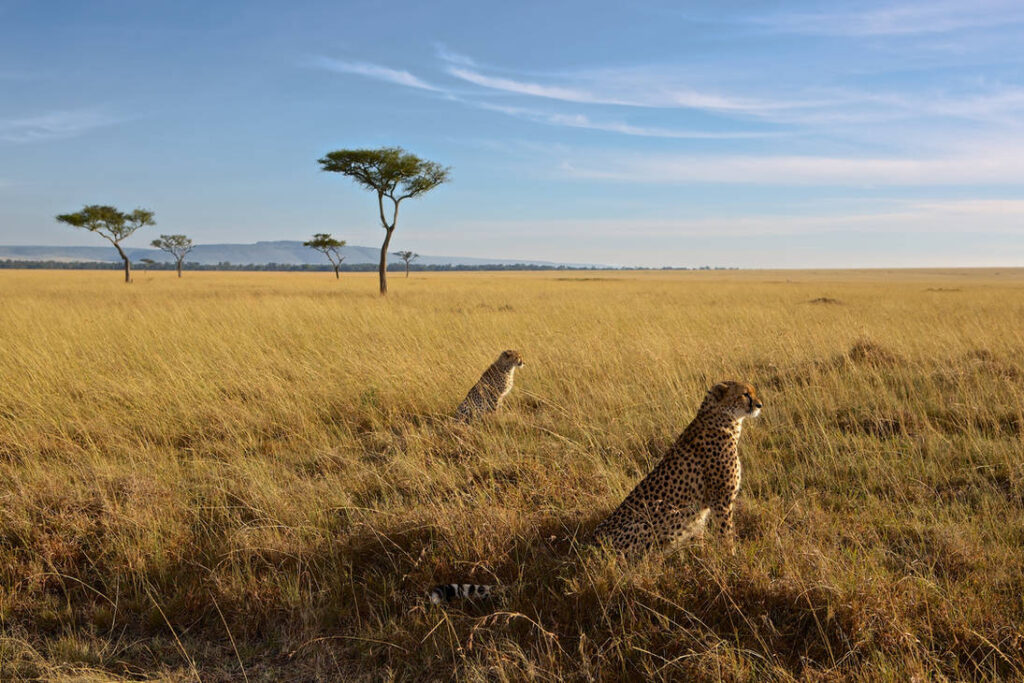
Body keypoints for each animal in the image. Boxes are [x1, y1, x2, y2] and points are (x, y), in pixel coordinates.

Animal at [425, 378, 761, 602]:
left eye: (754, 392)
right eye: (745, 393)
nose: (759, 405)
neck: (722, 420)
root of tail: (586, 547)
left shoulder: (706, 508)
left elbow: (705, 538)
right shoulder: (721, 502)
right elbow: (727, 536)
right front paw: (732, 562)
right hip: (643, 524)